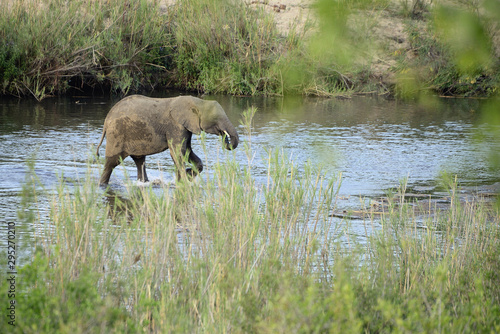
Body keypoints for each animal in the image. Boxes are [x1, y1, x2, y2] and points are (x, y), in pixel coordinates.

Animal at [97, 95, 240, 185]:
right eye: (216, 119)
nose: (225, 136)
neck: (198, 102)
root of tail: (106, 120)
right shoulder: (175, 125)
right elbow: (178, 152)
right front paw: (183, 179)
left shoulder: (184, 127)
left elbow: (187, 151)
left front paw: (187, 175)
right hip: (116, 134)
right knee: (111, 163)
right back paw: (102, 184)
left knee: (139, 161)